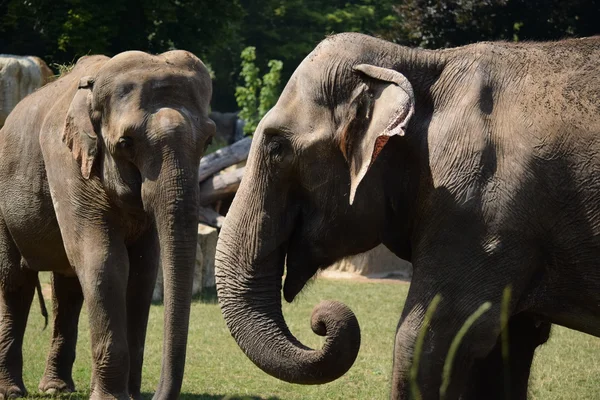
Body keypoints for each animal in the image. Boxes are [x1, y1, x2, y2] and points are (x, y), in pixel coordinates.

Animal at [0, 51, 216, 398]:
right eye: (126, 143)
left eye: (208, 140)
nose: (155, 395)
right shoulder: (66, 162)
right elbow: (105, 262)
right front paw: (113, 397)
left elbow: (143, 268)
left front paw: (127, 394)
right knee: (16, 280)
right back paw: (12, 391)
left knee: (67, 287)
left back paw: (57, 389)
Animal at [216, 32, 600, 400]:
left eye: (276, 147)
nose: (321, 321)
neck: (424, 62)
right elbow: (509, 344)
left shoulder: (480, 211)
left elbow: (428, 337)